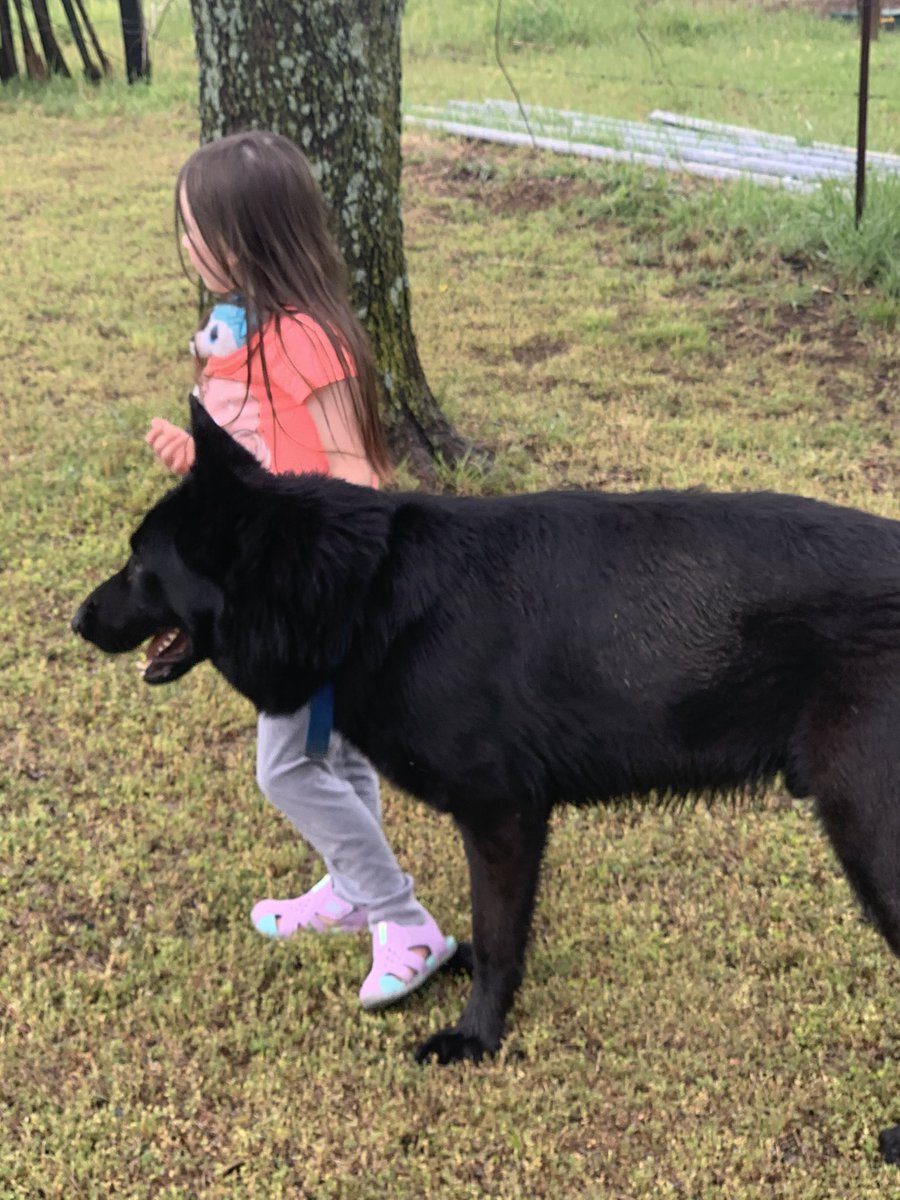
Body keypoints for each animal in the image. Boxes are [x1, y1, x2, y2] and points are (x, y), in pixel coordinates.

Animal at [73, 400, 900, 1160]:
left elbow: (501, 938)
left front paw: (477, 1037)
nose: (77, 620)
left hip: (870, 839)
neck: (359, 587)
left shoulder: (503, 818)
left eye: (141, 566)